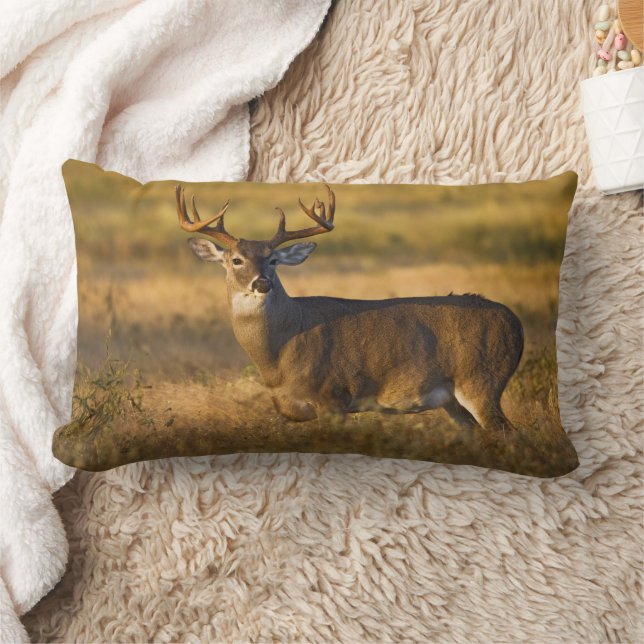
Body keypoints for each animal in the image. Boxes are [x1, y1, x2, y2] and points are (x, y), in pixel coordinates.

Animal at [175, 183, 524, 435]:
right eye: (236, 260)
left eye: (273, 260)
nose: (262, 283)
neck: (281, 352)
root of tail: (516, 323)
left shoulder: (333, 395)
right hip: (454, 402)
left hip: (481, 380)